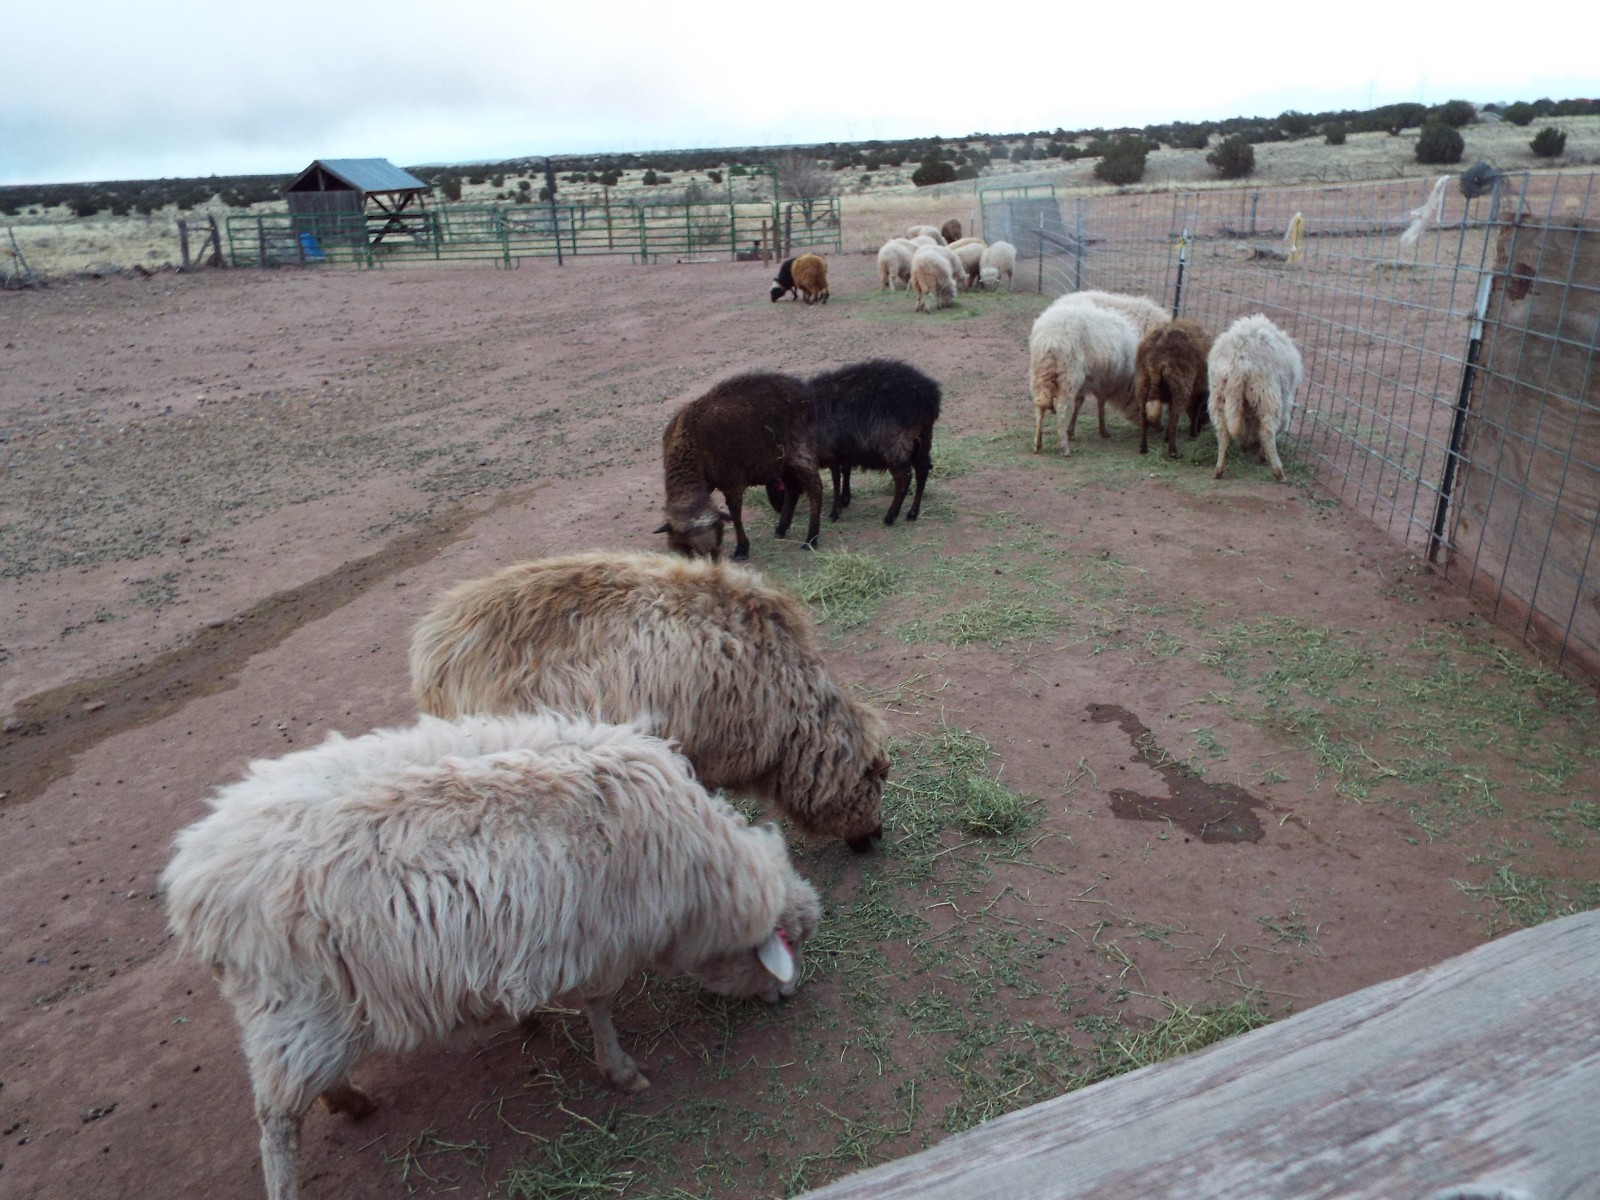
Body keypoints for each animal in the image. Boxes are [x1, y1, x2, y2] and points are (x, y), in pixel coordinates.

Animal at [164, 711, 823, 1200]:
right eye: (783, 945)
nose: (788, 996)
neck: (703, 874)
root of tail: (195, 877)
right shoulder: (601, 941)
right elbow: (601, 1007)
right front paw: (619, 1070)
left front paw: (526, 1019)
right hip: (293, 1002)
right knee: (276, 1121)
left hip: (307, 1012)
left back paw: (348, 1098)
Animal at [657, 371, 823, 560]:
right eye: (689, 548)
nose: (711, 563)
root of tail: (800, 388)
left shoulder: (732, 482)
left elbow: (735, 514)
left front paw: (742, 549)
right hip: (781, 459)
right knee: (793, 488)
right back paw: (781, 529)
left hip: (800, 448)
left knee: (815, 488)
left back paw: (811, 538)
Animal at [1028, 298, 1140, 455]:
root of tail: (1051, 340)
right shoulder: (1104, 381)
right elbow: (1100, 403)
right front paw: (1103, 430)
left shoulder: (1087, 380)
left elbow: (1079, 401)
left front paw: (1071, 431)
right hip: (1069, 373)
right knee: (1061, 407)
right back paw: (1064, 447)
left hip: (1039, 373)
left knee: (1039, 406)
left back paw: (1038, 444)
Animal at [1134, 318, 1213, 459]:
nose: (1203, 426)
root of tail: (1155, 359)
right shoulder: (1199, 391)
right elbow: (1194, 411)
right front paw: (1193, 434)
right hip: (1181, 386)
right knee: (1173, 418)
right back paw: (1173, 452)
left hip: (1142, 383)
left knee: (1143, 416)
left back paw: (1143, 447)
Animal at [1207, 313, 1303, 482]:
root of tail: (1238, 358)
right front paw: (1259, 453)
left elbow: (1248, 421)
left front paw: (1245, 445)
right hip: (1266, 393)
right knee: (1267, 430)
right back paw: (1277, 471)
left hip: (1218, 393)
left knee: (1222, 431)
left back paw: (1219, 469)